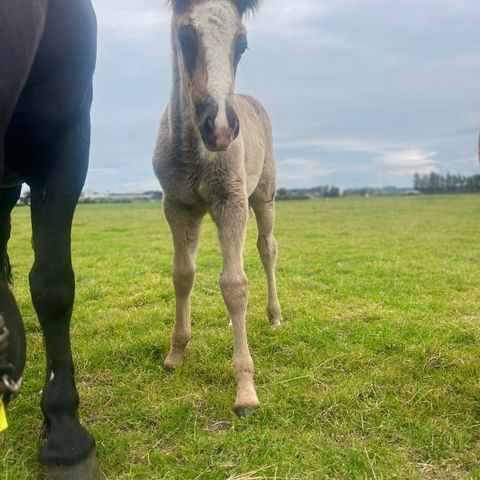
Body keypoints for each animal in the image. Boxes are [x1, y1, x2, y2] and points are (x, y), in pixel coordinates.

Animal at [154, 0, 282, 414]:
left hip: (262, 196)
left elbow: (235, 285)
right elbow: (183, 276)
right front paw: (175, 354)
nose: (222, 128)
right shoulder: (177, 207)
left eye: (241, 44)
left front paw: (245, 388)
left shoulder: (231, 202)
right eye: (185, 37)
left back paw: (275, 317)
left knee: (266, 249)